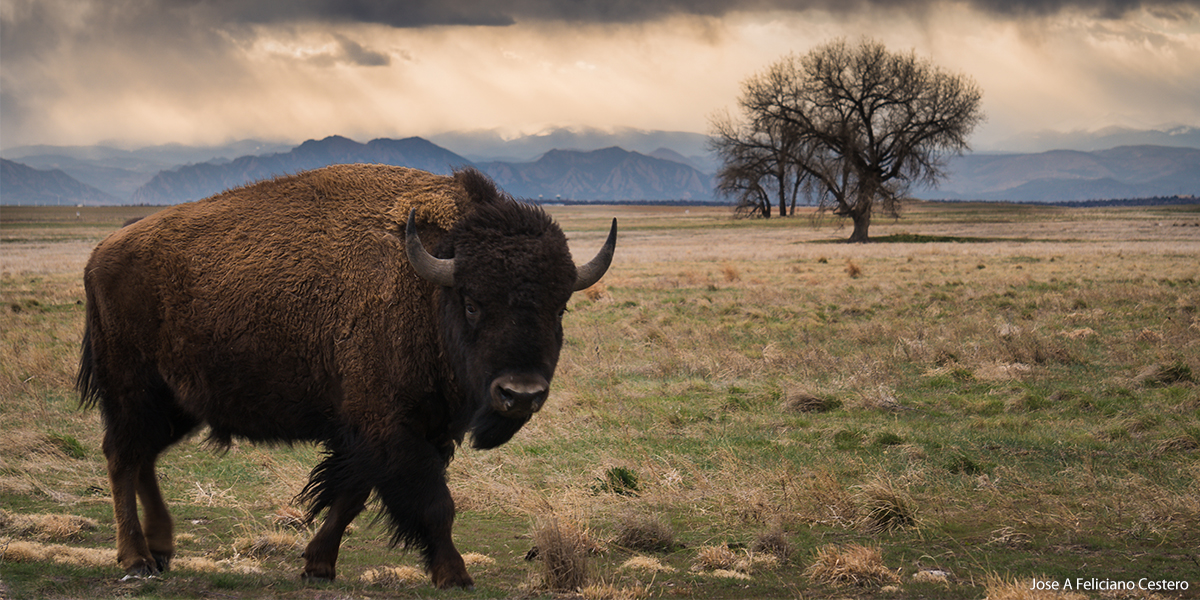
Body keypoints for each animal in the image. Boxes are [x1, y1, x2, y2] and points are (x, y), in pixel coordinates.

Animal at [76, 163, 619, 585]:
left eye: (559, 308)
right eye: (472, 303)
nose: (520, 394)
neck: (427, 284)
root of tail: (101, 252)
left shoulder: (403, 431)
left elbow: (351, 496)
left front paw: (318, 565)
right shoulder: (388, 428)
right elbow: (433, 503)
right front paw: (455, 574)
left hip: (180, 403)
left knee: (143, 458)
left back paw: (162, 550)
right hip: (133, 390)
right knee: (123, 457)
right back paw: (137, 559)